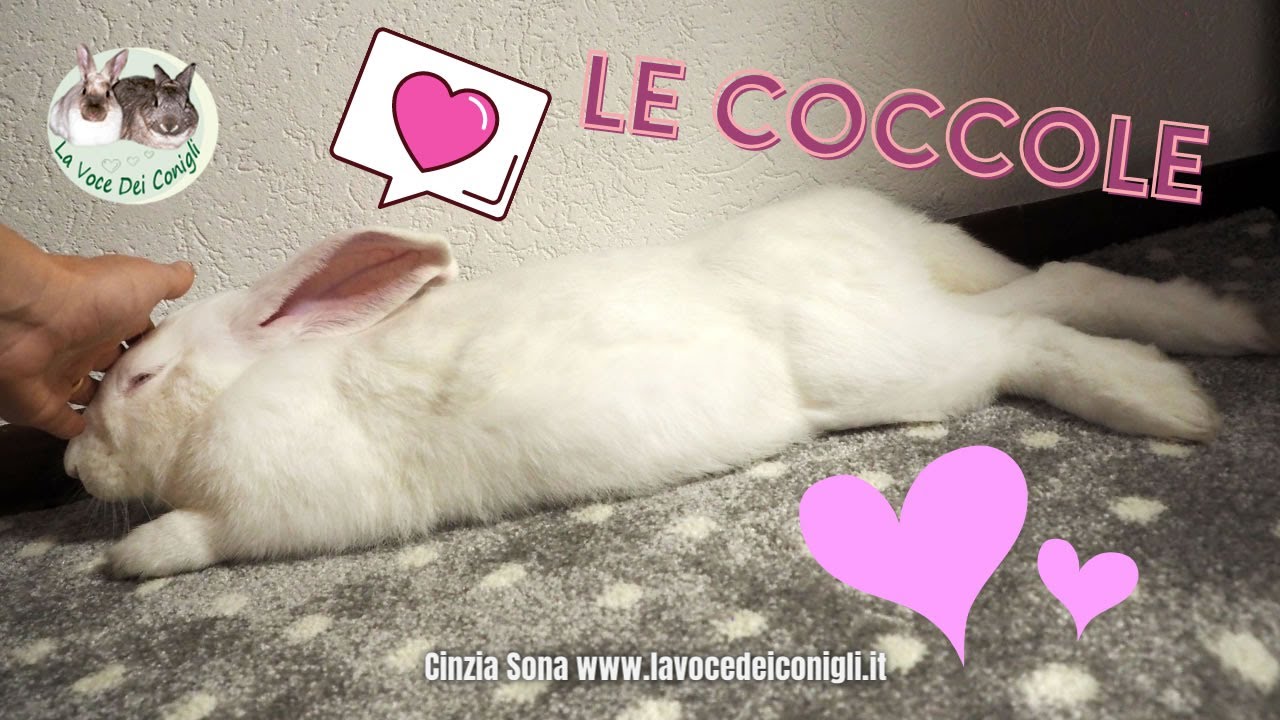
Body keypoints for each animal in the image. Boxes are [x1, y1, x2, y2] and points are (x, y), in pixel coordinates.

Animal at [63, 187, 1277, 578]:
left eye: (140, 379)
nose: (70, 465)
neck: (250, 386)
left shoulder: (282, 508)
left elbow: (197, 537)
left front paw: (129, 555)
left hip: (899, 365)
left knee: (1030, 331)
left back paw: (1164, 398)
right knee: (1060, 284)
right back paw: (1221, 329)